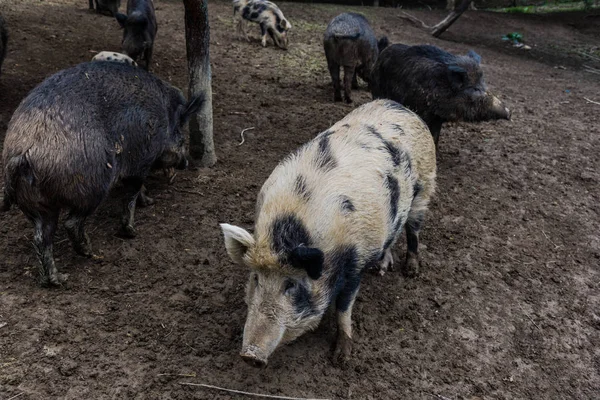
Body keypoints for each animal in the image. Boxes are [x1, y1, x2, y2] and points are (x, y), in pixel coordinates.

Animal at [1, 61, 204, 288]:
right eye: (181, 135)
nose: (186, 162)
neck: (163, 119)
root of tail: (21, 153)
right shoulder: (139, 164)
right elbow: (131, 196)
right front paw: (132, 231)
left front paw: (149, 202)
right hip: (92, 187)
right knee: (71, 223)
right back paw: (90, 253)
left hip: (36, 204)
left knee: (41, 237)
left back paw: (57, 280)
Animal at [372, 44, 508, 150]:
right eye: (475, 89)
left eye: (484, 84)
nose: (508, 112)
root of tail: (383, 52)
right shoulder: (424, 113)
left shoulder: (437, 118)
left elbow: (436, 136)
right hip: (377, 90)